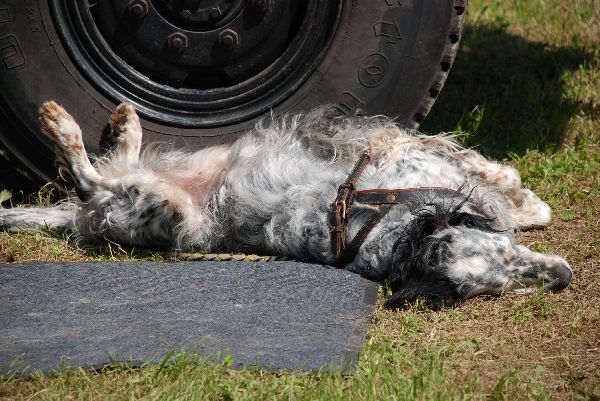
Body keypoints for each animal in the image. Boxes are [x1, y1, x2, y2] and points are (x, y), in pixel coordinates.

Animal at [0, 101, 572, 308]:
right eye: (505, 264)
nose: (564, 276)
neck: (400, 229)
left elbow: (515, 197)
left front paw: (523, 202)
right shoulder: (405, 154)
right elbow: (498, 178)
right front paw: (519, 195)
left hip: (154, 192)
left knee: (112, 167)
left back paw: (123, 121)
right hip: (154, 207)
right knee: (88, 178)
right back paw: (63, 123)